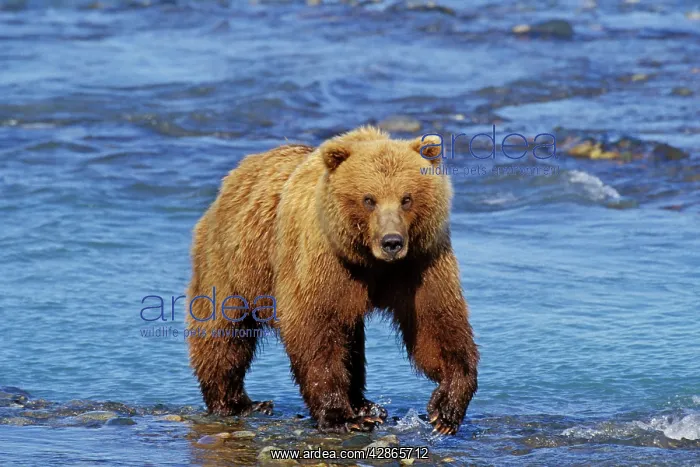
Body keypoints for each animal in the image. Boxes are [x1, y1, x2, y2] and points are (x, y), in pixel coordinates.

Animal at [186, 126, 479, 435]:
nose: (392, 242)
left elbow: (435, 322)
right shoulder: (323, 260)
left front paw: (445, 409)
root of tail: (235, 175)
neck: (369, 259)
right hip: (233, 261)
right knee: (224, 329)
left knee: (352, 340)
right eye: (369, 199)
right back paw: (238, 402)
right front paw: (341, 416)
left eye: (406, 198)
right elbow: (315, 327)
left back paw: (365, 404)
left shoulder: (421, 262)